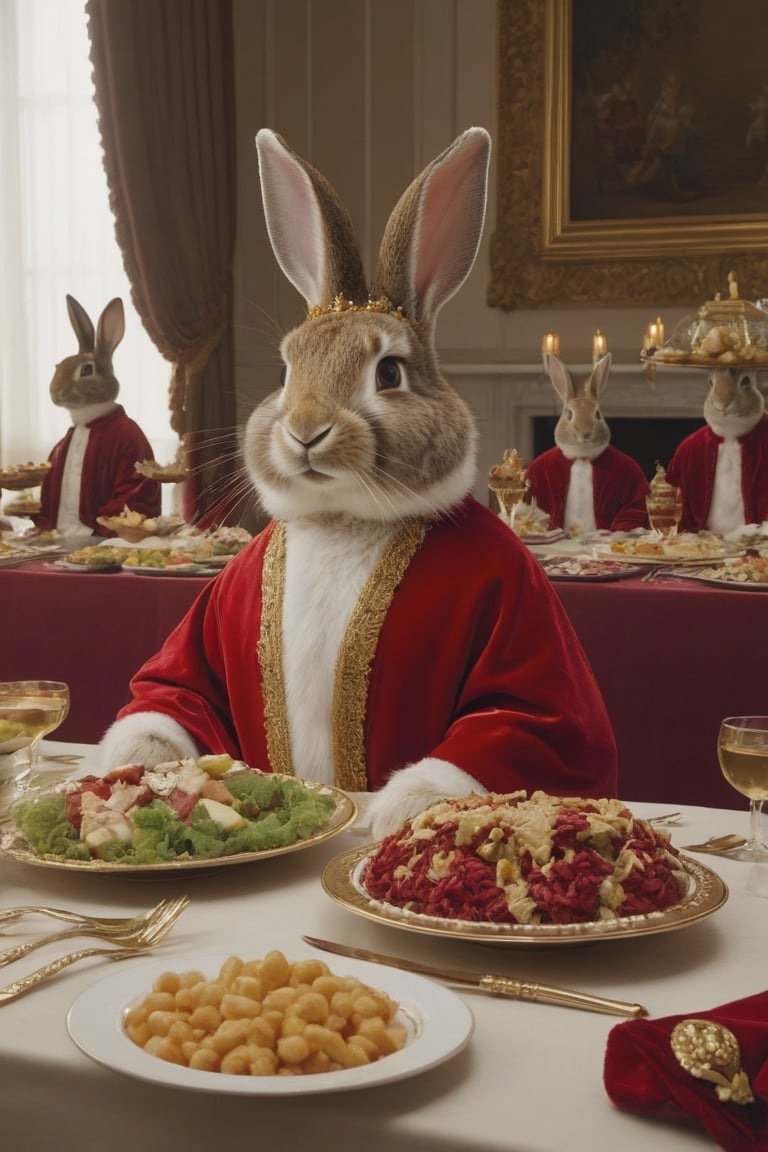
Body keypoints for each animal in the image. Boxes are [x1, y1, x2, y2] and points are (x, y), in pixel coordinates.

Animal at [100, 128, 617, 838]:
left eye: (390, 373)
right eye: (286, 372)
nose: (305, 430)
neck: (343, 518)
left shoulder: (526, 638)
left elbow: (519, 718)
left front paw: (406, 804)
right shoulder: (215, 618)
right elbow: (174, 691)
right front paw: (141, 759)